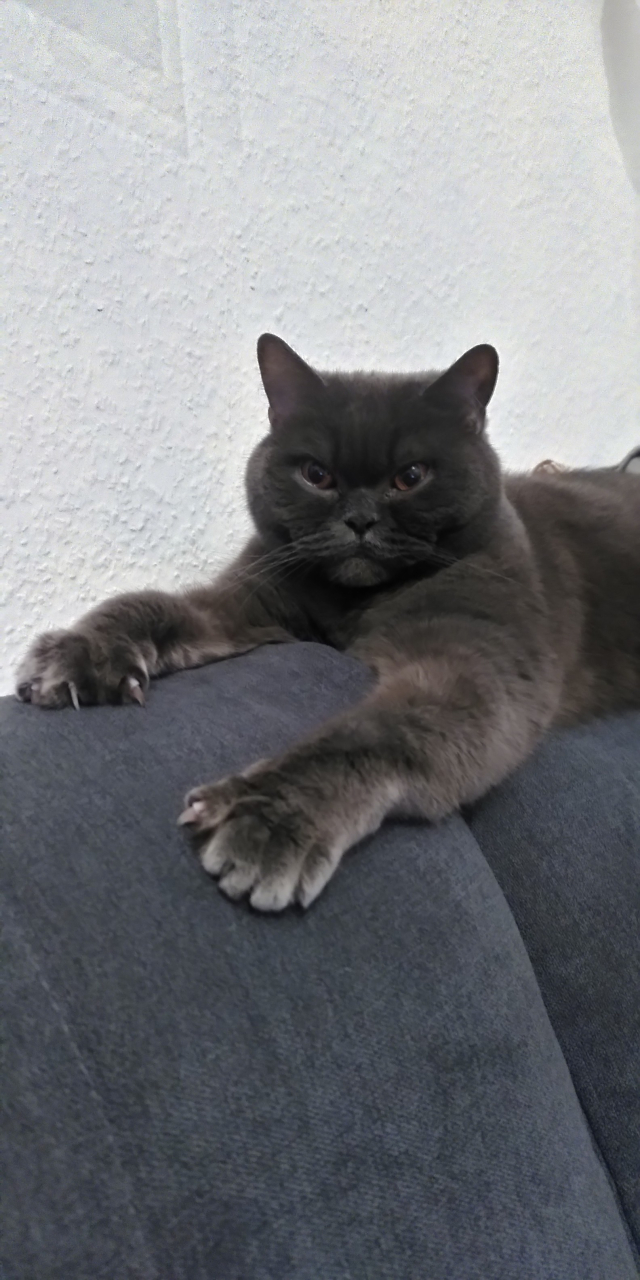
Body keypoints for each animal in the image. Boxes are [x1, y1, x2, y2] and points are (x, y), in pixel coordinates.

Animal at [13, 332, 640, 911]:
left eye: (411, 475)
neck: (350, 604)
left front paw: (269, 817)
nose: (359, 520)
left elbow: (372, 735)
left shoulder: (477, 661)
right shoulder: (249, 597)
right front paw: (78, 653)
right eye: (315, 474)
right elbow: (155, 604)